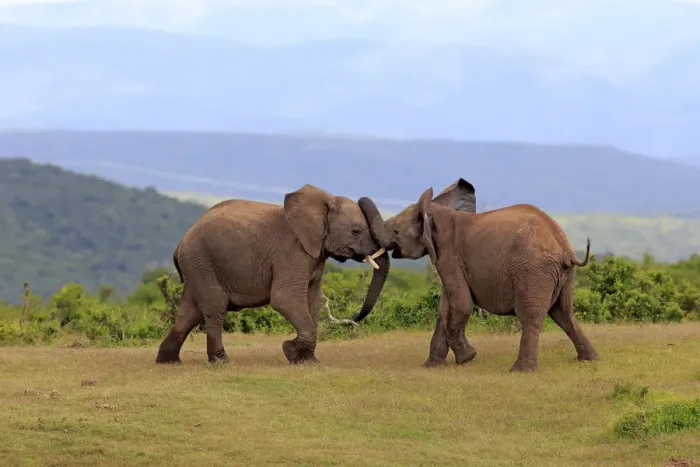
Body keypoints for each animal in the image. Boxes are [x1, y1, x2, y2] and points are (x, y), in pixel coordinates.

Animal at [155, 184, 392, 365]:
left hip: (198, 265)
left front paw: (306, 360)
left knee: (190, 312)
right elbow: (284, 298)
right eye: (355, 231)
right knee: (215, 305)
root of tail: (181, 243)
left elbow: (312, 301)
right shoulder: (292, 253)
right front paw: (290, 351)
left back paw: (168, 362)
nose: (354, 317)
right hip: (201, 260)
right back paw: (221, 362)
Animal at [371, 178, 599, 373]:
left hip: (533, 271)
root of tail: (564, 248)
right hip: (563, 274)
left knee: (532, 316)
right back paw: (589, 359)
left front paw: (467, 358)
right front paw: (433, 366)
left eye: (396, 231)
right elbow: (445, 308)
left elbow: (462, 304)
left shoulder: (447, 253)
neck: (435, 210)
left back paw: (520, 370)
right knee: (564, 312)